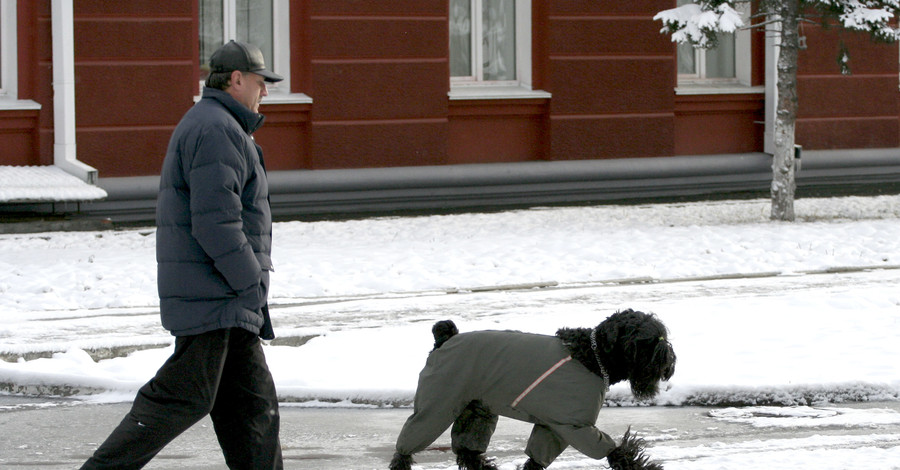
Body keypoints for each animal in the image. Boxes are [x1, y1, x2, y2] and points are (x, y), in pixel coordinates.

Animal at [386, 308, 676, 470]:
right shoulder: (575, 427)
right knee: (405, 449)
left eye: (662, 335)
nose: (669, 362)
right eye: (646, 340)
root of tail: (445, 339)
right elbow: (617, 451)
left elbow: (537, 458)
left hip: (476, 410)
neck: (592, 358)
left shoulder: (553, 427)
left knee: (468, 452)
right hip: (437, 405)